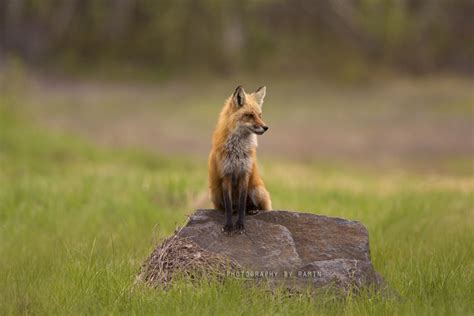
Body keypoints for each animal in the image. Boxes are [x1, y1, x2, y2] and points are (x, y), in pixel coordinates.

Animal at [209, 85, 272, 233]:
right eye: (249, 115)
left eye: (260, 115)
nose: (266, 127)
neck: (237, 151)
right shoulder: (225, 174)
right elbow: (228, 205)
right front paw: (229, 225)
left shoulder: (245, 173)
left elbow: (243, 203)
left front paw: (240, 224)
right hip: (215, 192)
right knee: (229, 207)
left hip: (256, 189)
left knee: (251, 205)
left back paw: (253, 209)